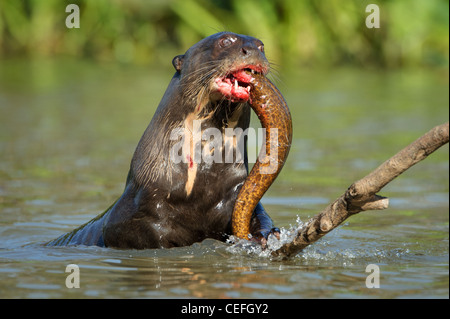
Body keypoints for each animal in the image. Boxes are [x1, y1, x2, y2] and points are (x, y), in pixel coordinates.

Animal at [46, 31, 284, 250]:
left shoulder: (236, 193)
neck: (201, 187)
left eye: (261, 45)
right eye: (225, 41)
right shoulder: (128, 217)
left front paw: (265, 235)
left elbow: (259, 215)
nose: (254, 49)